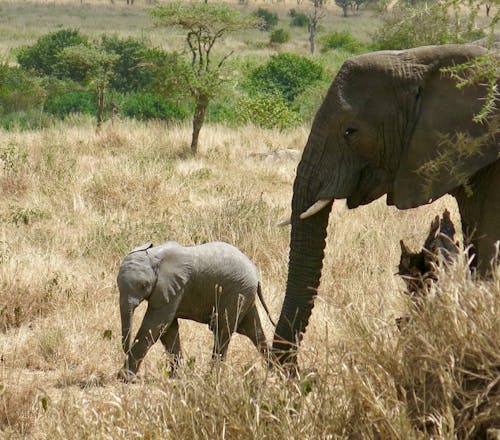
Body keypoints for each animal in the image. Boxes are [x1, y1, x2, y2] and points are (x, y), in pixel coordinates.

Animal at [115, 241, 276, 382]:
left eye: (143, 285)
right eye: (118, 285)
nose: (126, 349)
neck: (154, 256)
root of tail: (256, 275)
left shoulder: (174, 287)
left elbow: (156, 325)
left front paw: (123, 379)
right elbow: (168, 329)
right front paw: (174, 377)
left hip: (237, 292)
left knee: (222, 331)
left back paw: (211, 378)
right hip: (244, 294)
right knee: (253, 330)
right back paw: (277, 371)